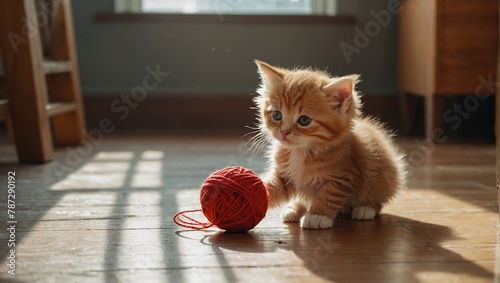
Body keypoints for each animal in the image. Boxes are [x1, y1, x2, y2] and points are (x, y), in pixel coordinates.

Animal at [254, 60, 406, 231]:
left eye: (304, 120)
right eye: (277, 115)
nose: (284, 132)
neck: (301, 151)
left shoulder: (344, 177)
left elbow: (329, 195)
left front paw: (317, 215)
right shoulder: (285, 174)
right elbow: (273, 186)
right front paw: (256, 190)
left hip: (382, 173)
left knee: (376, 195)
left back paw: (365, 208)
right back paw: (295, 208)